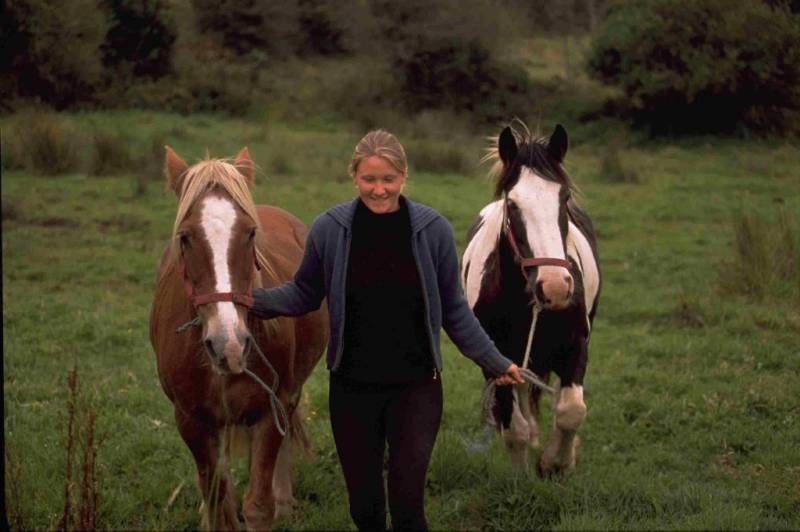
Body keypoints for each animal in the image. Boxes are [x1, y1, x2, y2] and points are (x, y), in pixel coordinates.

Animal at [150, 145, 328, 528]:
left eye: (250, 234)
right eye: (185, 237)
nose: (228, 345)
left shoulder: (270, 409)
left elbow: (257, 504)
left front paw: (274, 504)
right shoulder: (191, 421)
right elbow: (220, 502)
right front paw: (210, 513)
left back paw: (285, 500)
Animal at [462, 123, 600, 474]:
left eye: (564, 197)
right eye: (512, 204)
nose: (555, 287)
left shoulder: (577, 344)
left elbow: (571, 410)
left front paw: (556, 462)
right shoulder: (495, 359)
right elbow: (515, 429)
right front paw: (521, 476)